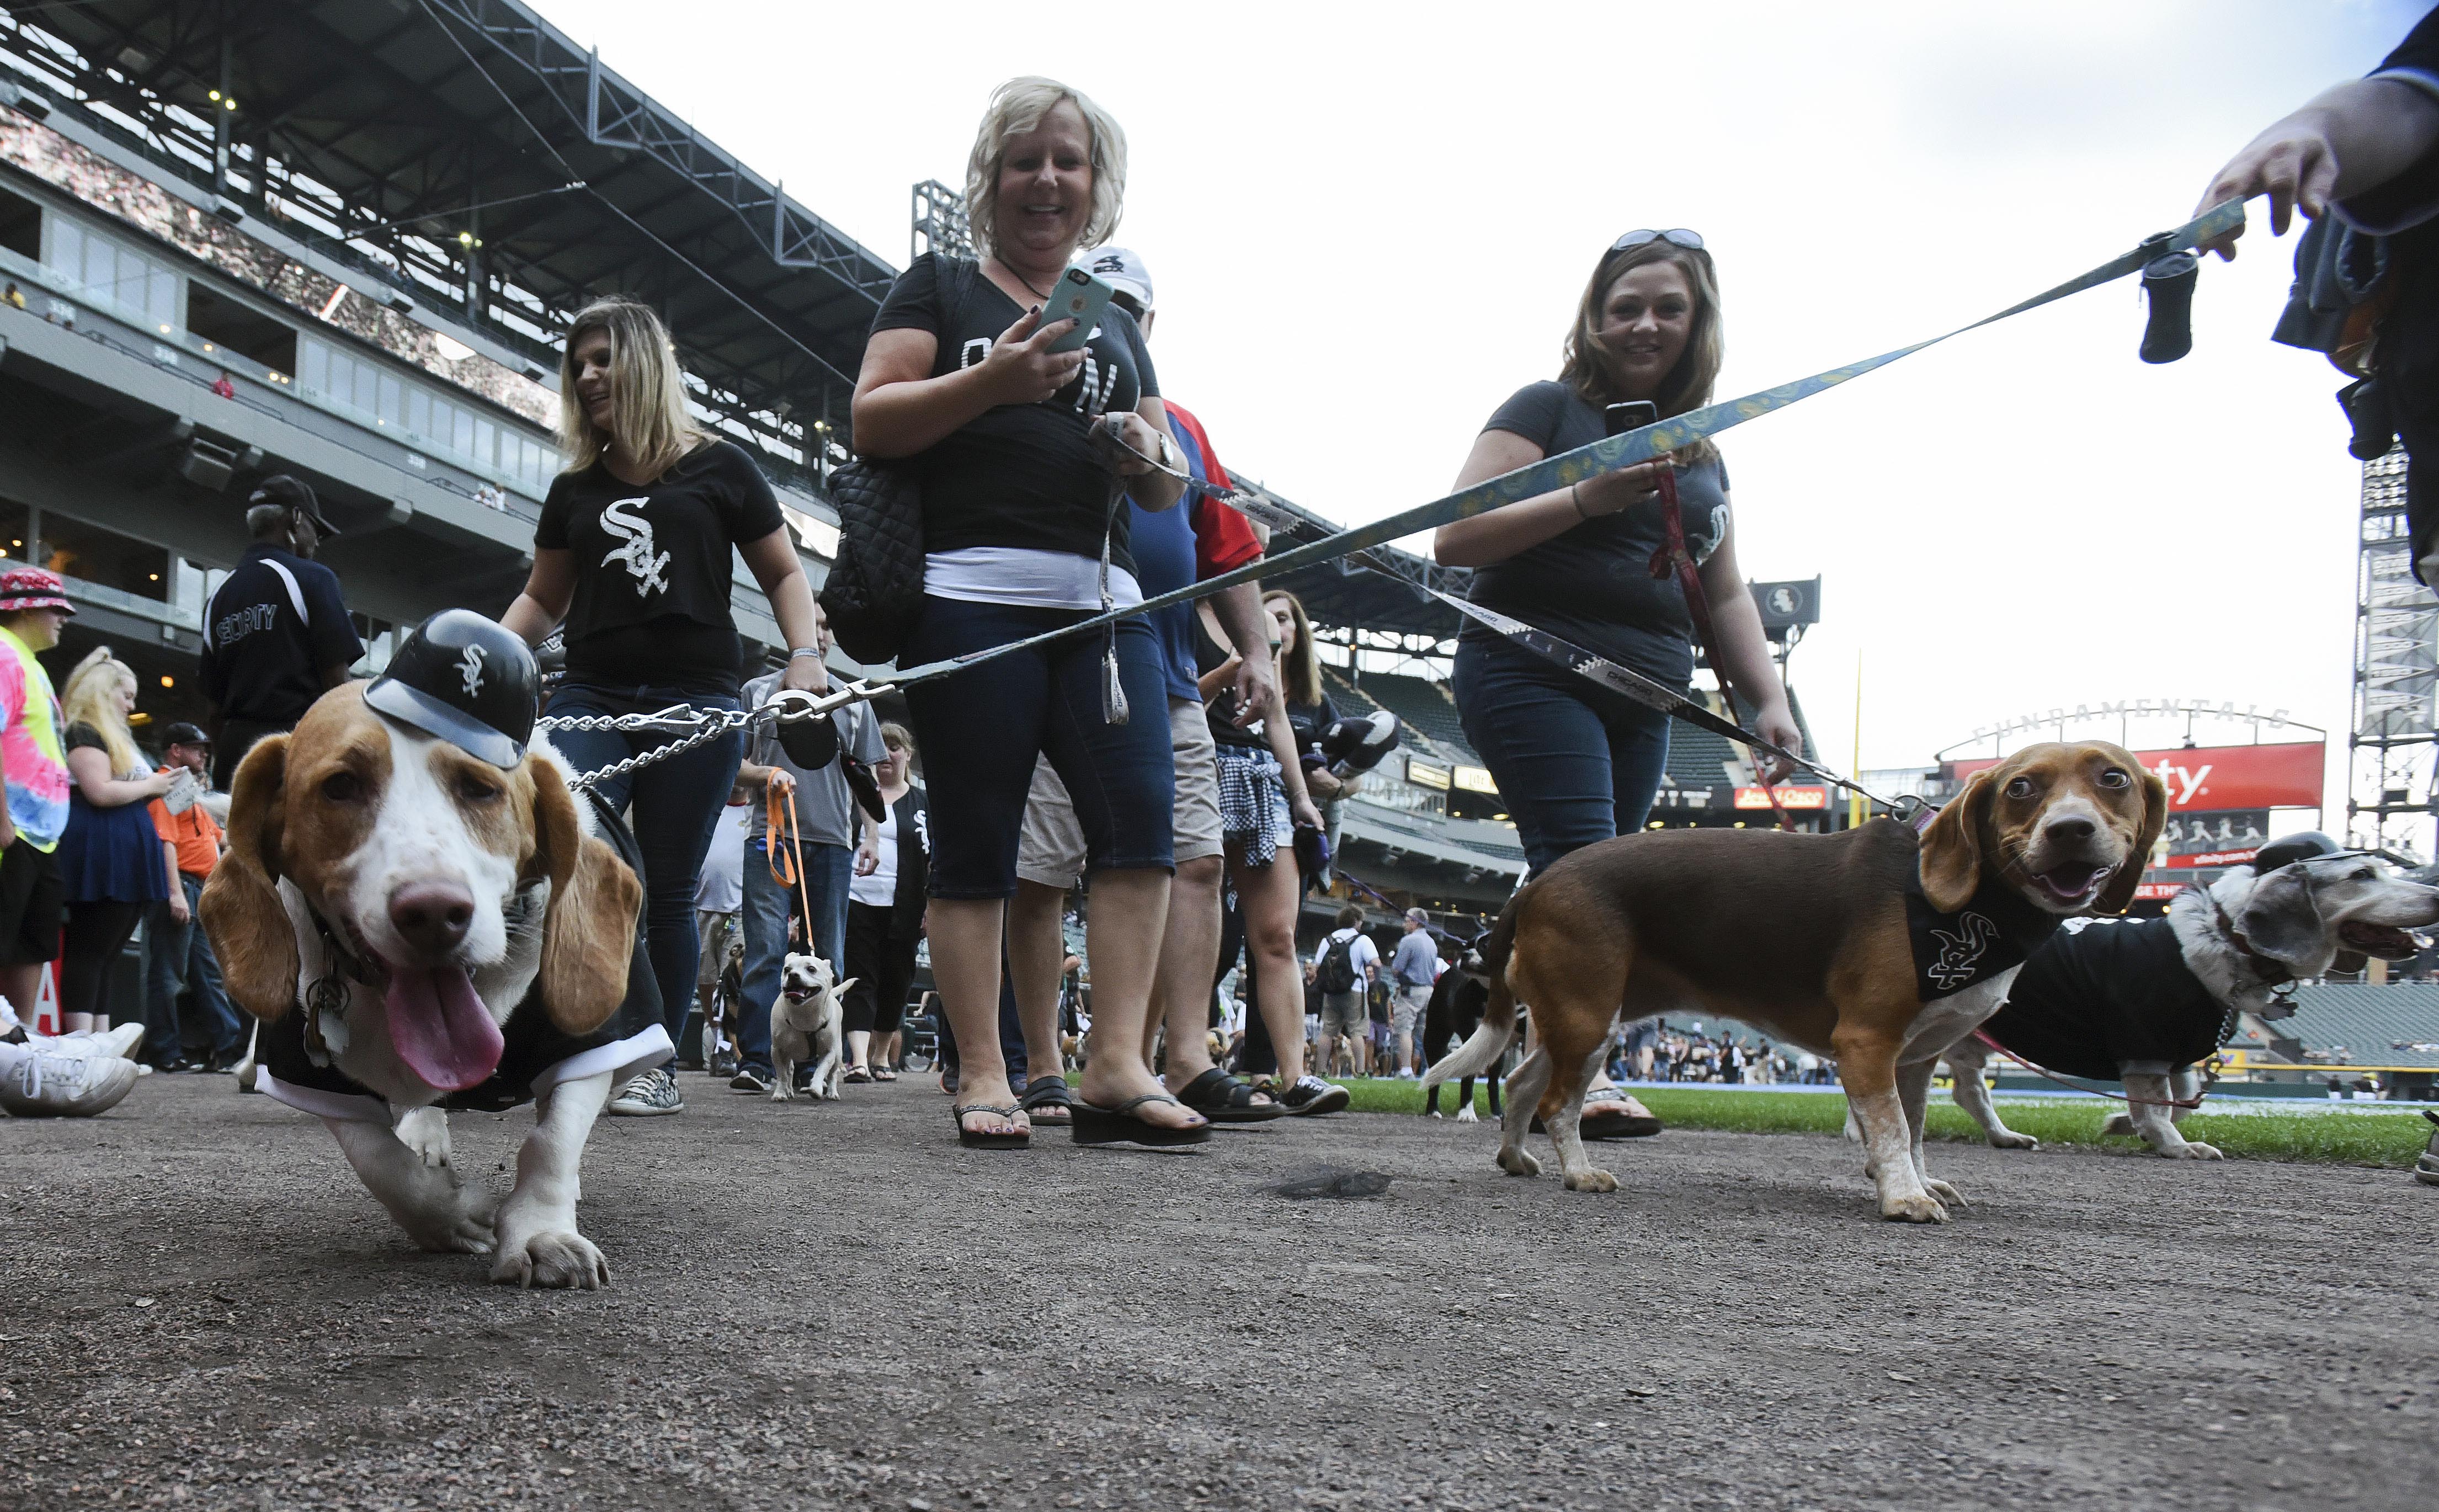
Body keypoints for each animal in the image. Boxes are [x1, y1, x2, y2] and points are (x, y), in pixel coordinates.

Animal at [780, 951, 868, 1102]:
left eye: (811, 969)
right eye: (787, 970)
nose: (793, 975)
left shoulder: (829, 1052)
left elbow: (821, 1070)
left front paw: (816, 1088)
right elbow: (784, 1073)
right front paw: (783, 1092)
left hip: (837, 1053)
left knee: (831, 1074)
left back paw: (830, 1091)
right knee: (790, 1071)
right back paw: (790, 1090)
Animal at [1941, 848, 2439, 1156]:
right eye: (2361, 876)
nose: (2436, 893)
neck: (2227, 934)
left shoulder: (2178, 1057)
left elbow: (2176, 1100)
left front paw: (2130, 1125)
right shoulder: (2146, 1045)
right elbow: (2159, 1106)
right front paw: (2173, 1145)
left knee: (1971, 1092)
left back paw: (2002, 1134)